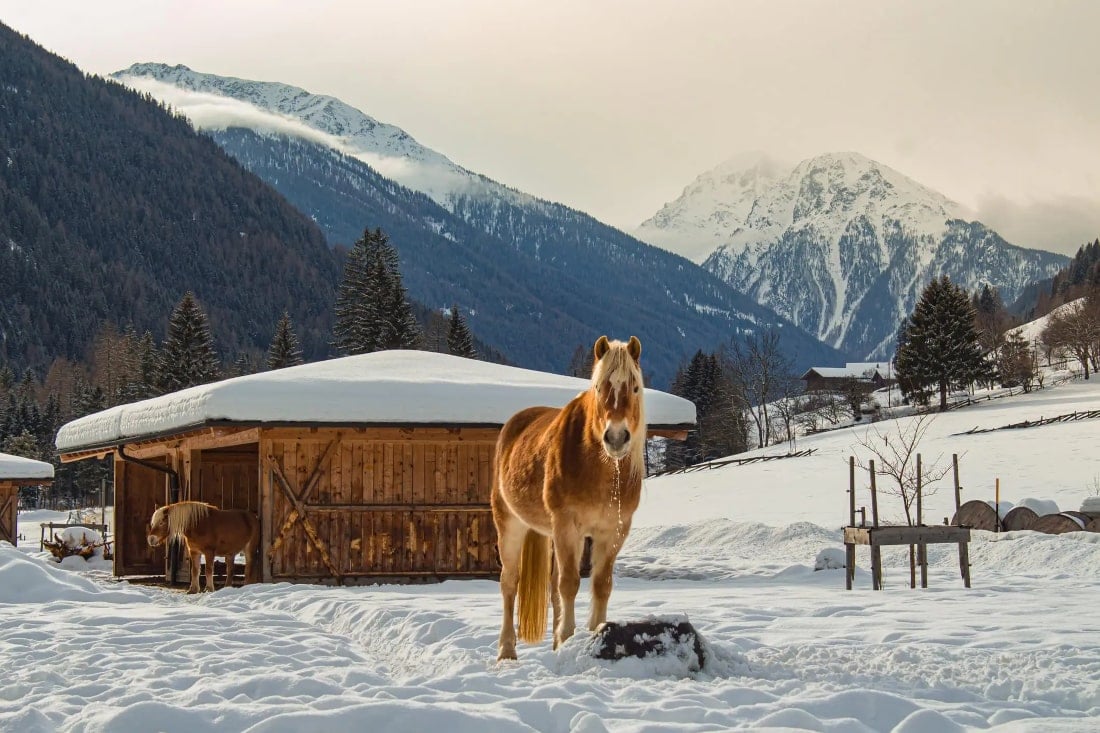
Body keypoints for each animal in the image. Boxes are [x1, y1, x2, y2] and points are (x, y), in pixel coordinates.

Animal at [492, 335, 646, 660]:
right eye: (599, 387)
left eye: (635, 388)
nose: (616, 437)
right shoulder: (567, 526)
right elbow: (570, 583)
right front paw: (566, 637)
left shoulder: (613, 531)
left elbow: (600, 585)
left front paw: (593, 634)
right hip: (511, 525)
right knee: (510, 583)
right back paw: (507, 650)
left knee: (551, 587)